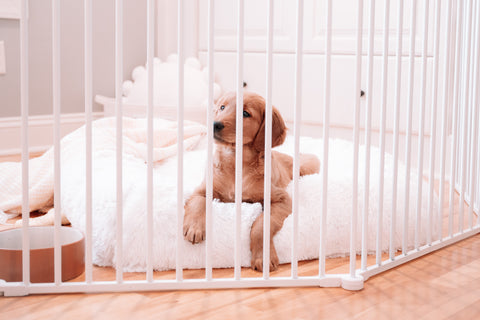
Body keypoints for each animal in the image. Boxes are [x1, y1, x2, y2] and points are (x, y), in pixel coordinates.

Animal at [182, 91, 320, 272]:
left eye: (245, 113)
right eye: (222, 107)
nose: (214, 124)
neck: (236, 162)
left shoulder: (281, 199)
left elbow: (260, 225)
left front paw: (263, 257)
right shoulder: (202, 190)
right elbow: (198, 202)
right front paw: (194, 228)